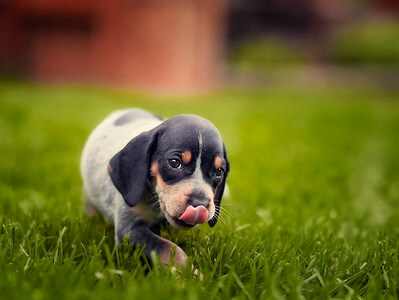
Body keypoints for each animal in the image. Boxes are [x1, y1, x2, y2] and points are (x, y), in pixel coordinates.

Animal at [81, 109, 230, 268]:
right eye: (174, 162)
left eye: (219, 172)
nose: (200, 204)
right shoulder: (128, 229)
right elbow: (168, 248)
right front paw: (189, 272)